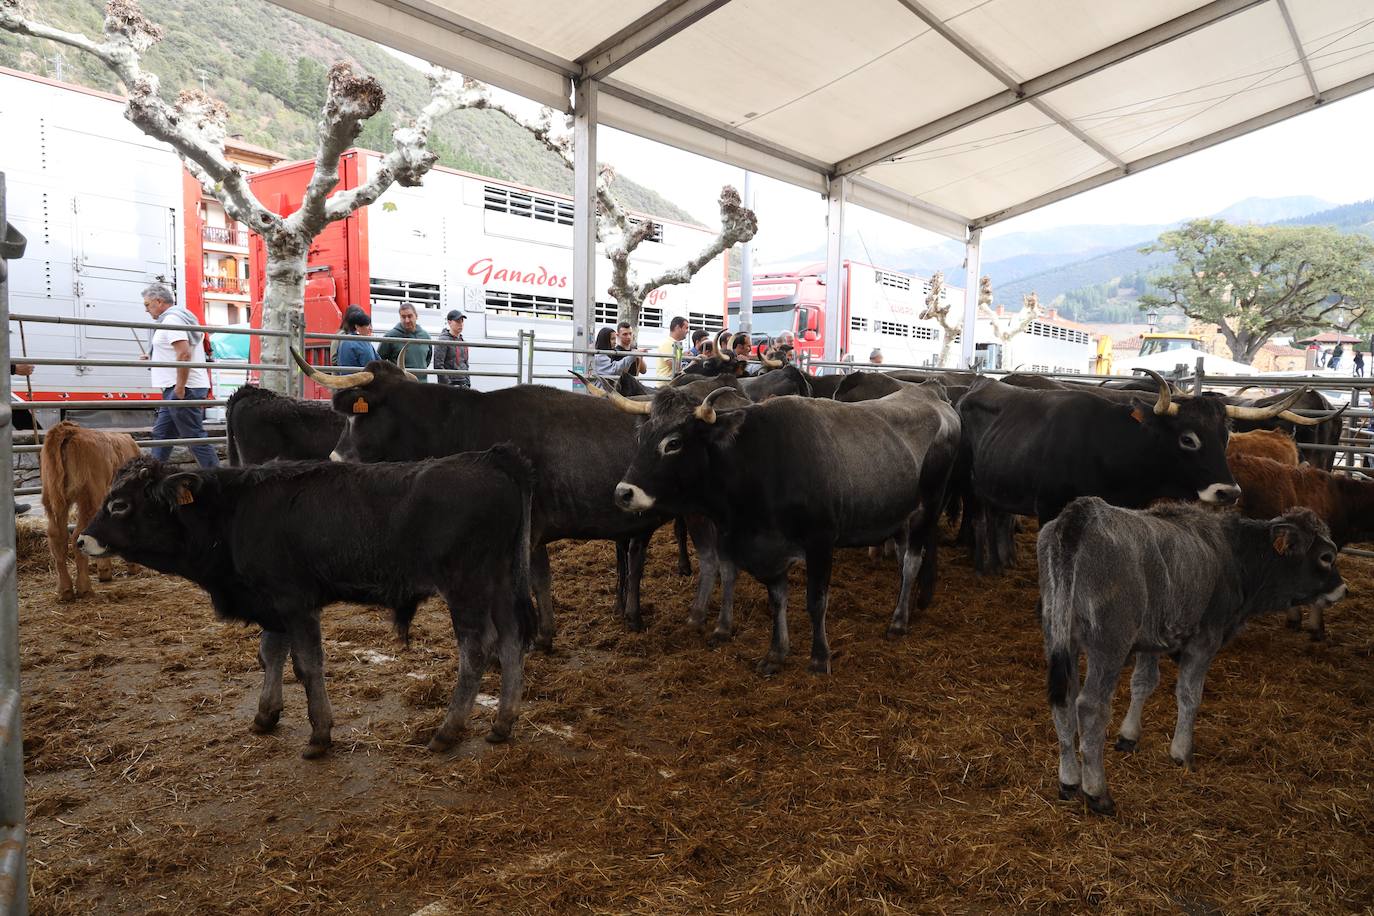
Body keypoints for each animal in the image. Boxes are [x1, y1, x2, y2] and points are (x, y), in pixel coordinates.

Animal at [39, 422, 139, 601]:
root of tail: (69, 429)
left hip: (52, 498)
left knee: (57, 536)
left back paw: (65, 590)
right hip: (89, 498)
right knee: (78, 536)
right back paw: (84, 588)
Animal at [73, 450, 535, 758]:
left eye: (119, 504)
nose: (81, 539)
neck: (234, 511)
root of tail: (491, 461)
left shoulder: (294, 601)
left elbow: (307, 665)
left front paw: (320, 734)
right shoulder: (272, 605)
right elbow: (271, 655)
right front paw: (266, 715)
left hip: (466, 588)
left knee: (476, 650)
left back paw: (447, 730)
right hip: (499, 585)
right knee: (512, 642)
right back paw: (502, 723)